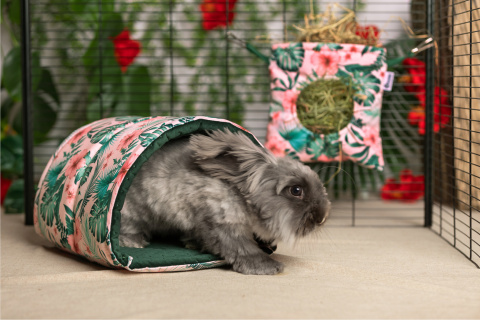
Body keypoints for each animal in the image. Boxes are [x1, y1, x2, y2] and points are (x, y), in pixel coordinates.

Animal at [120, 129, 330, 274]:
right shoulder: (222, 224)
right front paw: (267, 267)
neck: (241, 198)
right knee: (130, 226)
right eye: (296, 190)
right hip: (132, 212)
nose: (321, 218)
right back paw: (134, 242)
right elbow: (241, 248)